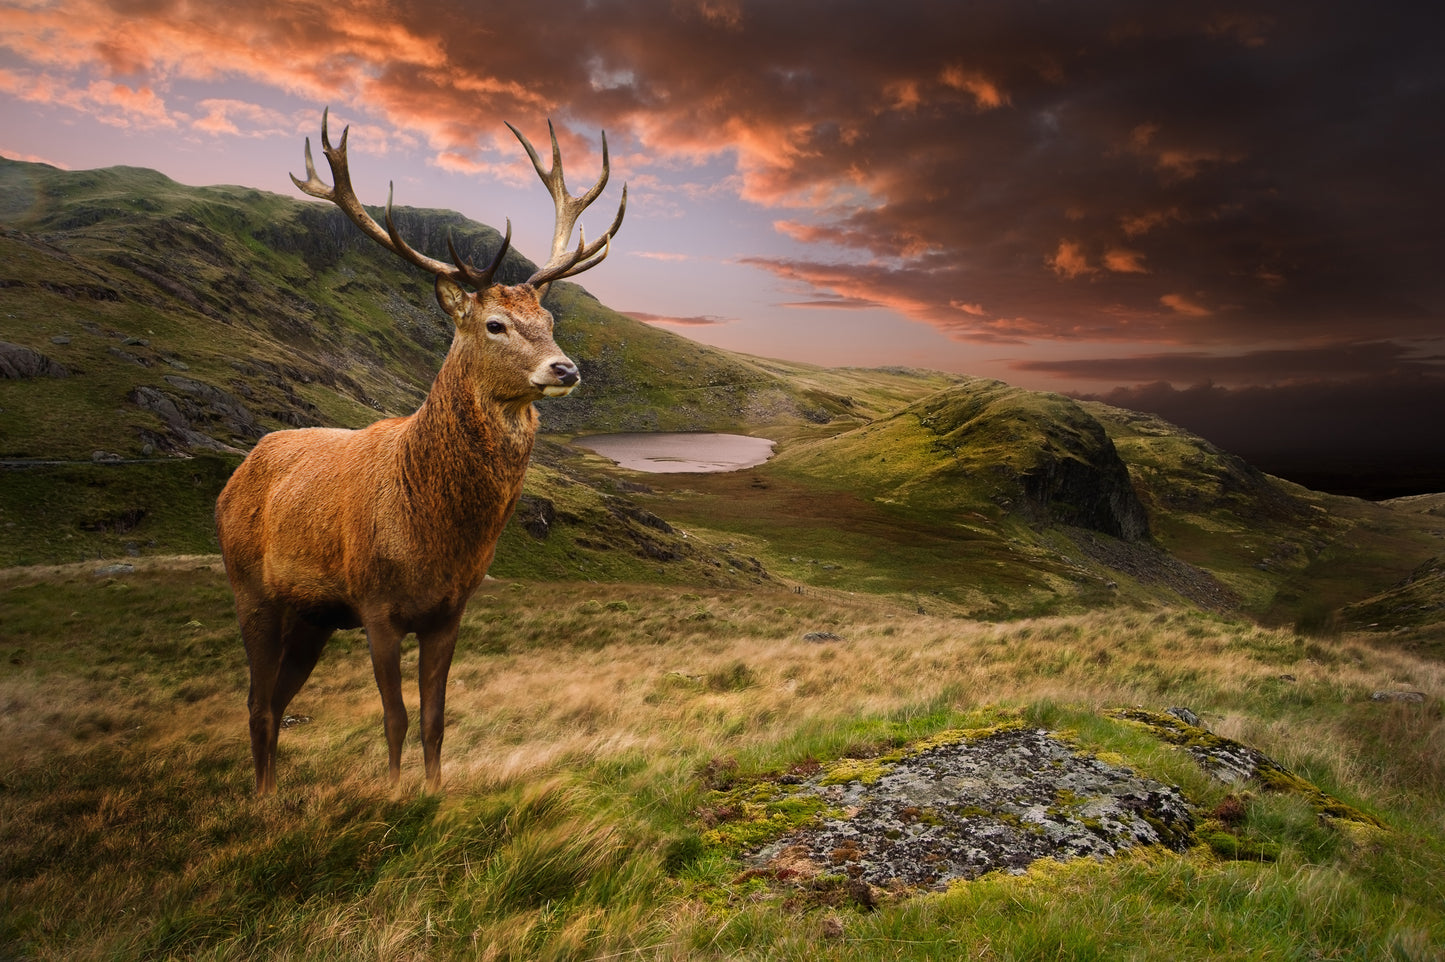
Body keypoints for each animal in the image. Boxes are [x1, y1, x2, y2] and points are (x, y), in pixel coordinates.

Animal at [215, 108, 625, 794]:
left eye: (547, 318)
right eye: (494, 324)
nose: (566, 368)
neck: (430, 532)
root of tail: (233, 478)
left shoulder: (449, 610)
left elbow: (436, 715)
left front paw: (434, 792)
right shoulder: (376, 604)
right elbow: (396, 717)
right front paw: (394, 793)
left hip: (311, 618)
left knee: (274, 700)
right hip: (252, 591)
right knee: (255, 702)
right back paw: (262, 800)